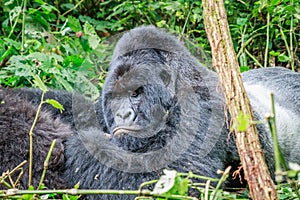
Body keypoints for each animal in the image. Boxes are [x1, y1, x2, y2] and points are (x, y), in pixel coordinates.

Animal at [0, 25, 300, 198]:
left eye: (136, 93)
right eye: (115, 97)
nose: (123, 115)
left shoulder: (202, 111)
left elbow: (175, 182)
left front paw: (82, 146)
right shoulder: (100, 108)